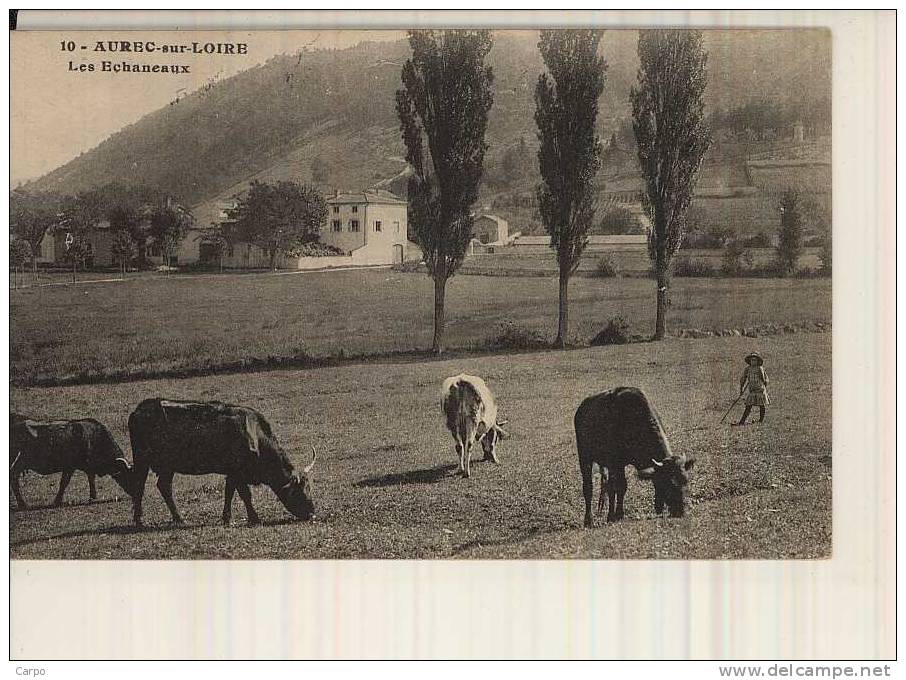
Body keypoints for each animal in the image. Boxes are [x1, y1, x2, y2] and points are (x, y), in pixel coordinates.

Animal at [127, 396, 318, 528]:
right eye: (298, 492)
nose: (312, 512)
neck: (255, 436)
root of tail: (139, 410)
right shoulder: (237, 472)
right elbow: (244, 494)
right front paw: (254, 518)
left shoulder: (232, 473)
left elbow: (229, 492)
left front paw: (227, 518)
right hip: (142, 460)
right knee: (139, 486)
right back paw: (140, 520)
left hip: (167, 466)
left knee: (164, 487)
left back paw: (178, 518)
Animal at [576, 388, 696, 524]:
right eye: (670, 483)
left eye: (686, 481)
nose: (680, 511)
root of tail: (581, 409)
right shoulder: (615, 463)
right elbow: (617, 487)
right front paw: (615, 515)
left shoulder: (618, 465)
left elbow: (620, 487)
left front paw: (618, 514)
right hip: (584, 456)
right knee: (588, 487)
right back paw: (589, 520)